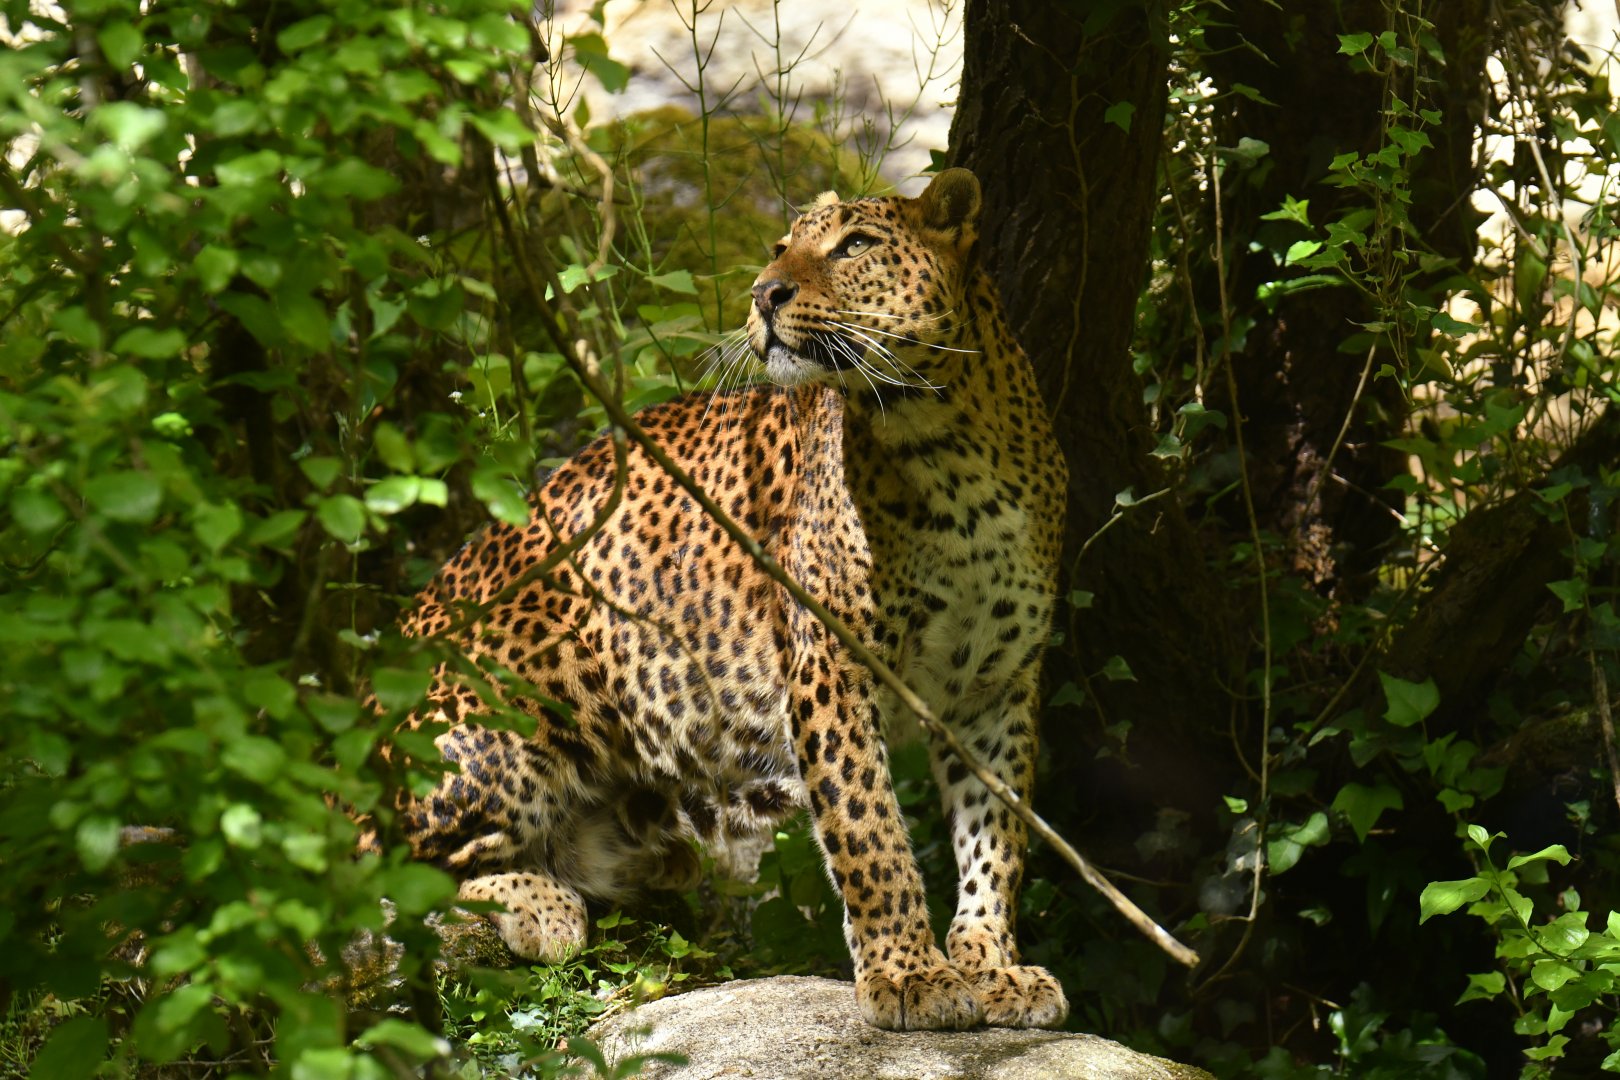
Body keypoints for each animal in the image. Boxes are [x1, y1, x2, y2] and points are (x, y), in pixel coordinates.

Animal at [390, 167, 1070, 1031]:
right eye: (781, 247)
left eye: (853, 246)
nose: (763, 293)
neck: (945, 444)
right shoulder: (832, 667)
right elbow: (869, 828)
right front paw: (909, 974)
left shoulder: (995, 685)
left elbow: (996, 836)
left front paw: (993, 964)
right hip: (510, 712)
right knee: (375, 866)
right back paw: (540, 907)